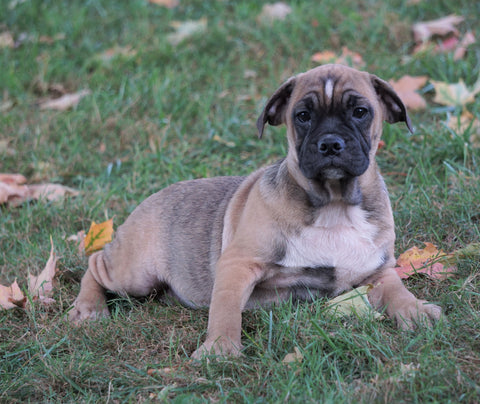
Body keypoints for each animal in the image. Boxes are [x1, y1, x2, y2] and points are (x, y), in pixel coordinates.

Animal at [68, 64, 442, 358]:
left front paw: (416, 311)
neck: (333, 204)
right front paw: (219, 349)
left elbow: (397, 290)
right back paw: (89, 308)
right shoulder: (237, 265)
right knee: (96, 264)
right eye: (302, 116)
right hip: (136, 273)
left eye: (360, 112)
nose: (331, 143)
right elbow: (225, 310)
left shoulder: (377, 269)